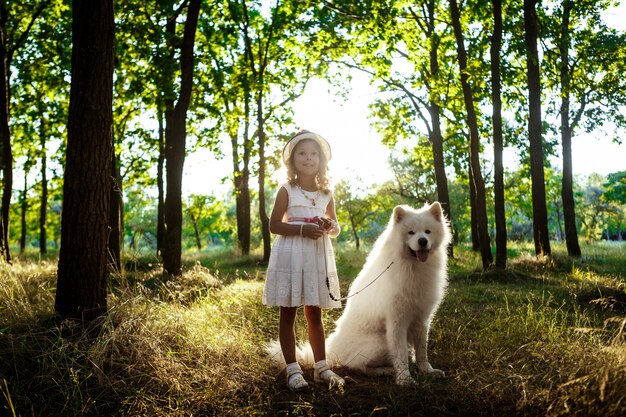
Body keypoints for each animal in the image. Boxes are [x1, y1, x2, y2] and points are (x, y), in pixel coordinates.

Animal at [324, 202, 450, 384]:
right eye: (411, 232)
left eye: (427, 231)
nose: (422, 241)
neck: (413, 268)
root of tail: (333, 350)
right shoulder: (397, 322)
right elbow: (401, 354)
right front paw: (405, 379)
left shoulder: (422, 319)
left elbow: (421, 351)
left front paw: (428, 371)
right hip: (379, 343)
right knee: (360, 366)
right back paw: (386, 371)